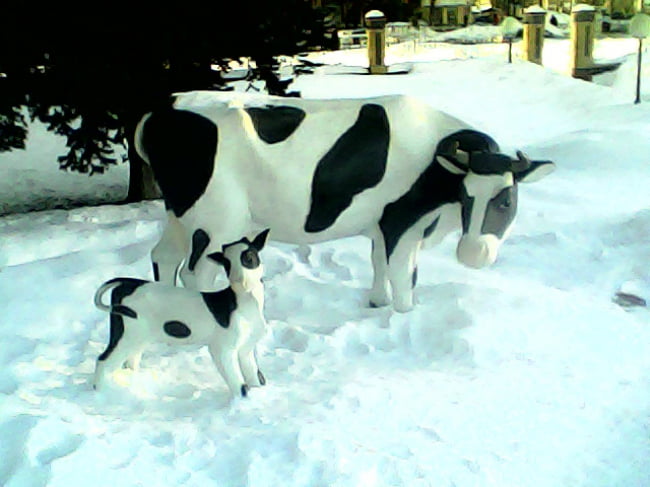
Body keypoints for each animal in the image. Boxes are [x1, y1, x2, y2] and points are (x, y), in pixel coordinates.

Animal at [92, 230, 270, 397]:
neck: (243, 302)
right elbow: (239, 385)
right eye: (227, 263)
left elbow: (253, 376)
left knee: (130, 361)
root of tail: (127, 283)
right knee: (103, 361)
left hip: (139, 337)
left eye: (249, 256)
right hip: (128, 335)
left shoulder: (246, 348)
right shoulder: (222, 348)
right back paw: (100, 393)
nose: (240, 281)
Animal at [134, 92, 555, 312]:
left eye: (506, 199)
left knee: (163, 256)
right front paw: (404, 313)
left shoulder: (383, 225)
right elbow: (402, 272)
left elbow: (379, 263)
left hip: (181, 216)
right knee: (196, 274)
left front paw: (377, 302)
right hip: (217, 224)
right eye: (467, 196)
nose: (474, 255)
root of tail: (163, 119)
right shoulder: (402, 221)